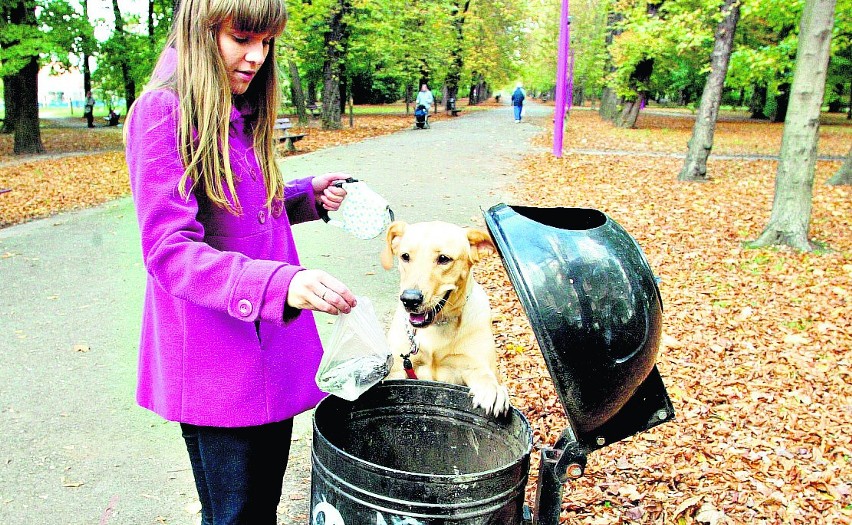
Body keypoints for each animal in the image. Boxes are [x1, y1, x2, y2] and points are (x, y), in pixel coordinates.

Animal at [382, 219, 510, 416]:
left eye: (443, 259)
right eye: (405, 256)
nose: (409, 299)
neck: (436, 327)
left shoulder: (472, 365)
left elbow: (485, 376)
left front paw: (493, 390)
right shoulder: (398, 368)